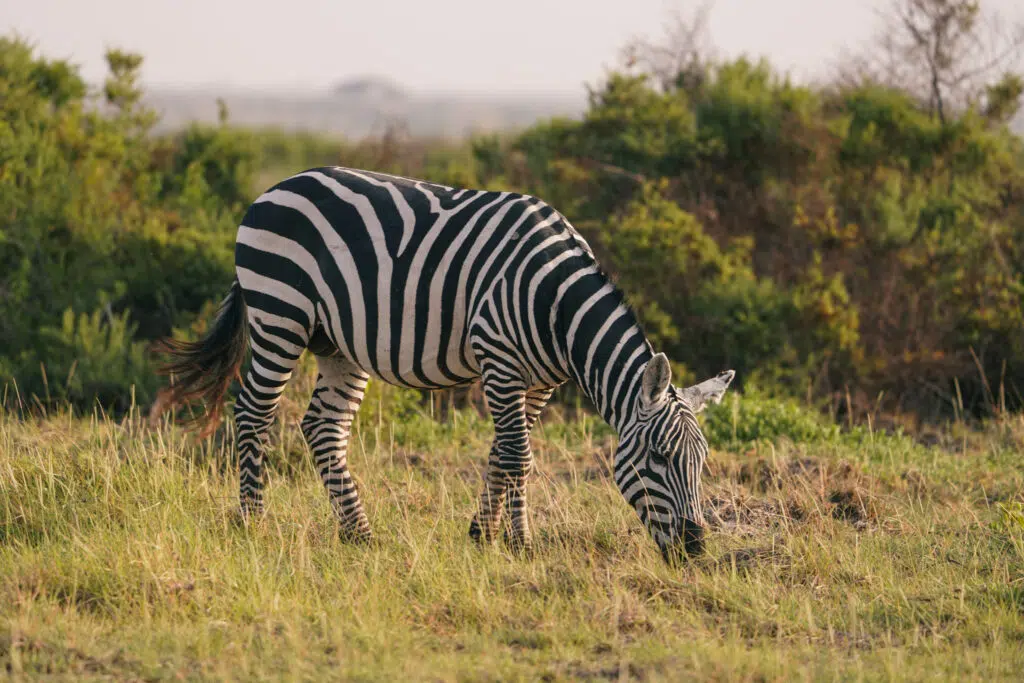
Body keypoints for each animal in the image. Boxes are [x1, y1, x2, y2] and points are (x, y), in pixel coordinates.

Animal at [153, 166, 735, 562]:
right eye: (660, 457)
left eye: (702, 462)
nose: (696, 548)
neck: (556, 306)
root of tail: (275, 187)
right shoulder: (499, 358)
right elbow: (518, 456)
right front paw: (520, 544)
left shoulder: (538, 382)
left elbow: (504, 452)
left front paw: (484, 534)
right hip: (280, 312)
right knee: (253, 412)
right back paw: (253, 523)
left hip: (337, 342)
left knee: (322, 427)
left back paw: (358, 534)